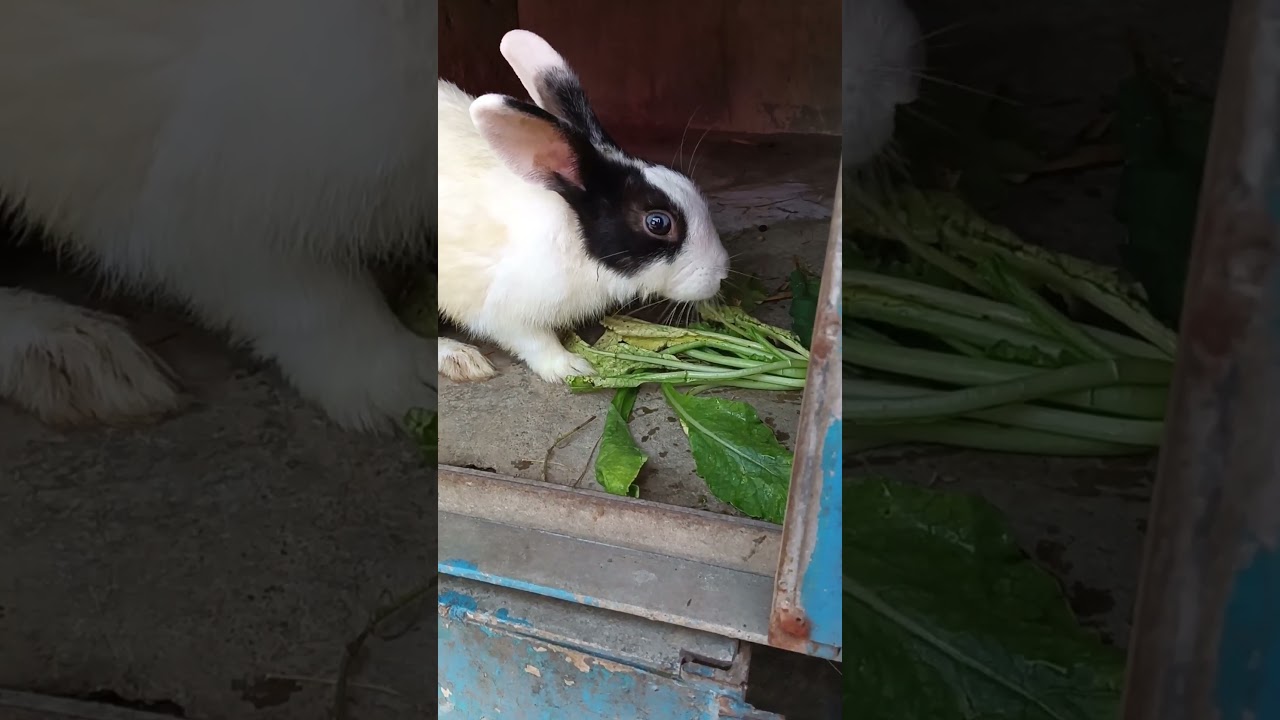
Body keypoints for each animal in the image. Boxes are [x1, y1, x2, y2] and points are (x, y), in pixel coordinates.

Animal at [437, 30, 730, 383]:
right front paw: (571, 367)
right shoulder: (502, 310)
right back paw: (461, 358)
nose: (721, 274)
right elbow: (534, 342)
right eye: (658, 223)